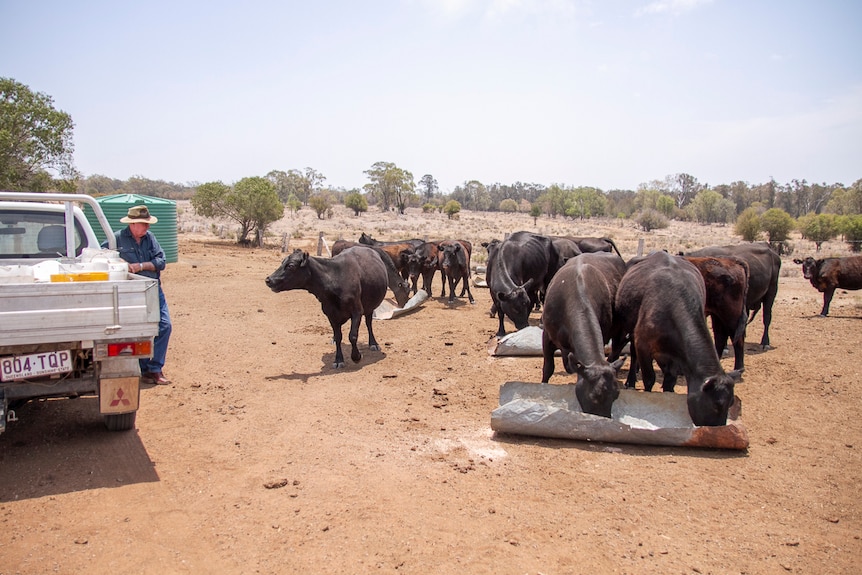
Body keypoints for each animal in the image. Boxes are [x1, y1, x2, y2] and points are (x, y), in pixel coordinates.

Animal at [616, 252, 744, 428]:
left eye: (730, 403)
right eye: (716, 405)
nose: (719, 429)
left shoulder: (677, 356)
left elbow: (670, 381)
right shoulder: (643, 345)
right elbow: (649, 378)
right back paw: (630, 381)